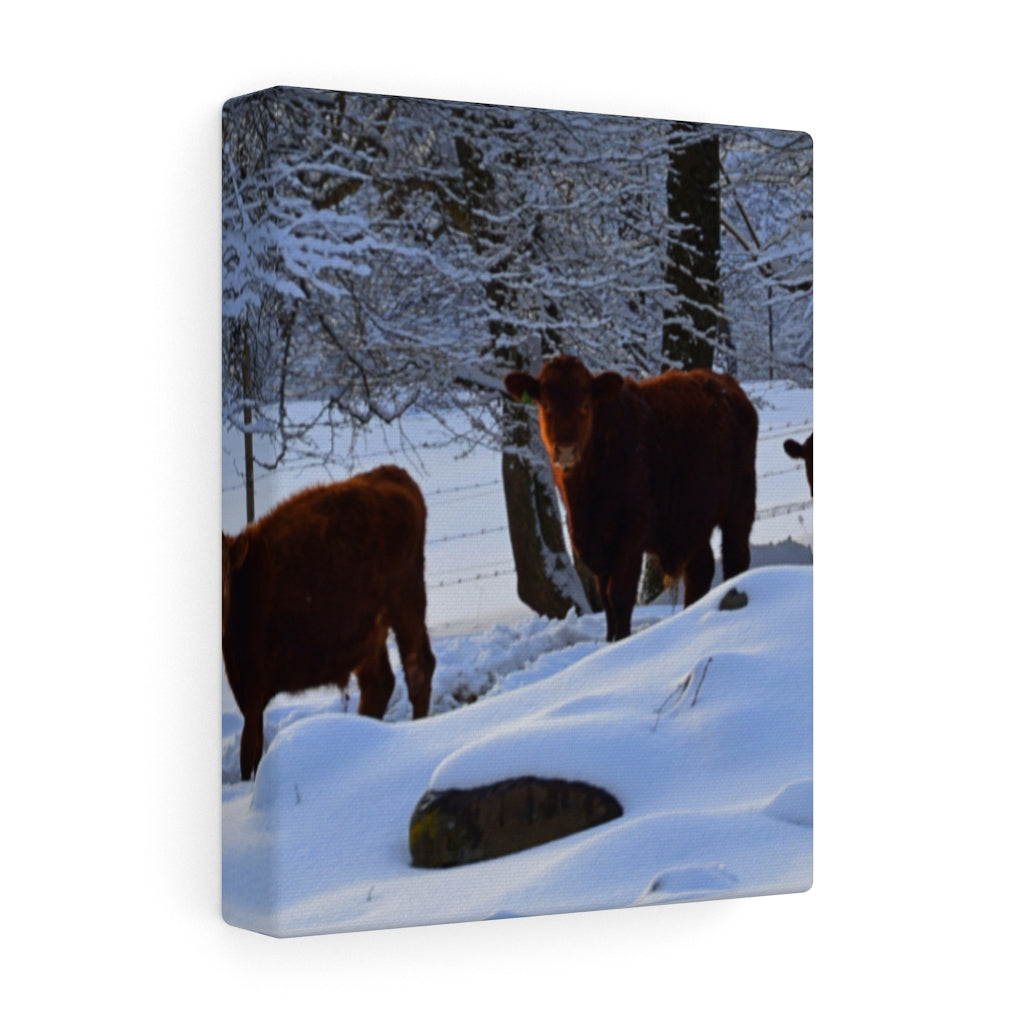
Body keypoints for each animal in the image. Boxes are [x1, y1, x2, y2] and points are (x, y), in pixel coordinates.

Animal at [221, 464, 436, 780]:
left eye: (223, 573)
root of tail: (389, 473)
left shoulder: (254, 688)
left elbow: (250, 752)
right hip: (370, 632)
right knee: (379, 683)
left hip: (406, 601)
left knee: (417, 667)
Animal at [505, 355, 758, 642]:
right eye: (545, 406)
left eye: (585, 405)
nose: (566, 450)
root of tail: (726, 385)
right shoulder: (593, 542)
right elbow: (606, 600)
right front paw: (609, 641)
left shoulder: (631, 533)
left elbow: (620, 595)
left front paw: (623, 641)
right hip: (692, 520)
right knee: (700, 570)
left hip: (740, 506)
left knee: (735, 558)